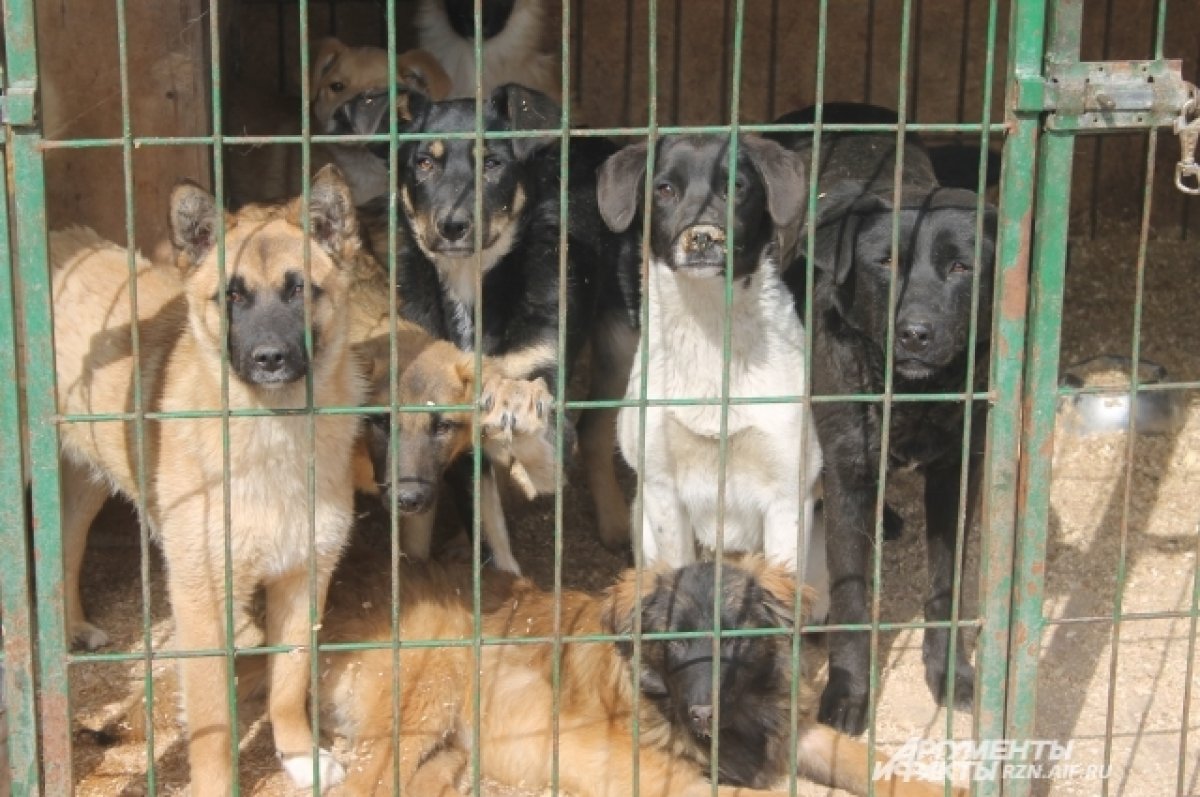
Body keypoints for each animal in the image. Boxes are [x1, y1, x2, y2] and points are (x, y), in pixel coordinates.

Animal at [51, 164, 360, 792]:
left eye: (299, 289)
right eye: (231, 295)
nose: (269, 358)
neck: (270, 433)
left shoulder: (304, 575)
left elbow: (290, 684)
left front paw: (299, 756)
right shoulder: (201, 596)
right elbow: (214, 719)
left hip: (93, 473)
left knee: (69, 544)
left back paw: (75, 626)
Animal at [312, 554, 964, 797]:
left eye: (734, 638)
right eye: (674, 642)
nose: (704, 715)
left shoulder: (793, 732)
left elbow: (873, 761)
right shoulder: (639, 767)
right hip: (430, 691)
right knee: (362, 782)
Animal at [597, 135, 830, 604]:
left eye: (735, 187)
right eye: (665, 189)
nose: (702, 238)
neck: (710, 329)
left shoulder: (788, 496)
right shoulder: (663, 490)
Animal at [772, 104, 998, 734]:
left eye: (961, 266)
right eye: (885, 263)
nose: (916, 332)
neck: (912, 397)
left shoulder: (958, 472)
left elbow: (946, 586)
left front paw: (950, 671)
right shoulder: (848, 471)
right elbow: (851, 599)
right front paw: (847, 694)